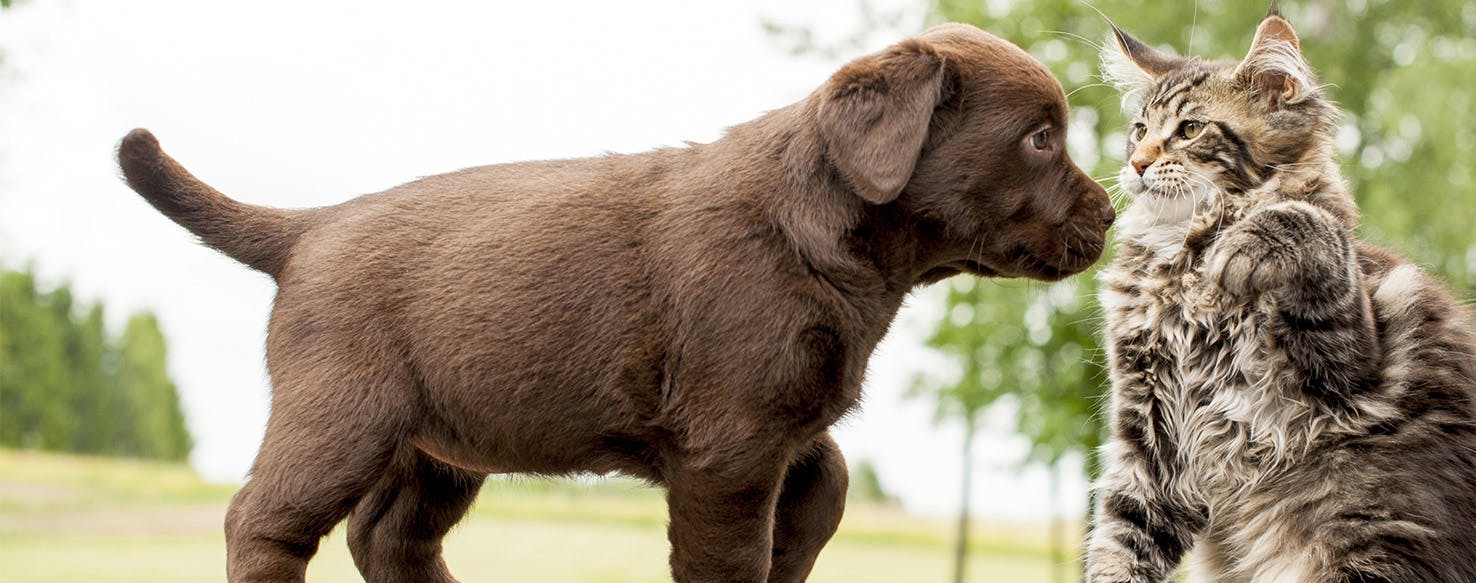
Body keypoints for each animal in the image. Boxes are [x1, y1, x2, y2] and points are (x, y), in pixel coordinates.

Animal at [118, 22, 1109, 583]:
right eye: (1040, 138)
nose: (1110, 211)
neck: (819, 227)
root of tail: (310, 226)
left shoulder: (780, 418)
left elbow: (827, 478)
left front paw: (800, 546)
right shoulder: (729, 446)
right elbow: (731, 554)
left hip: (445, 436)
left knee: (389, 538)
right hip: (343, 411)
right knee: (267, 523)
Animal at [1086, 5, 1476, 583]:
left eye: (1190, 129)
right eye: (1139, 131)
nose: (1136, 164)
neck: (1177, 262)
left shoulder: (1351, 368)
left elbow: (1306, 221)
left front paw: (1241, 243)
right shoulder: (1148, 441)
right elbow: (1119, 541)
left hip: (1371, 539)